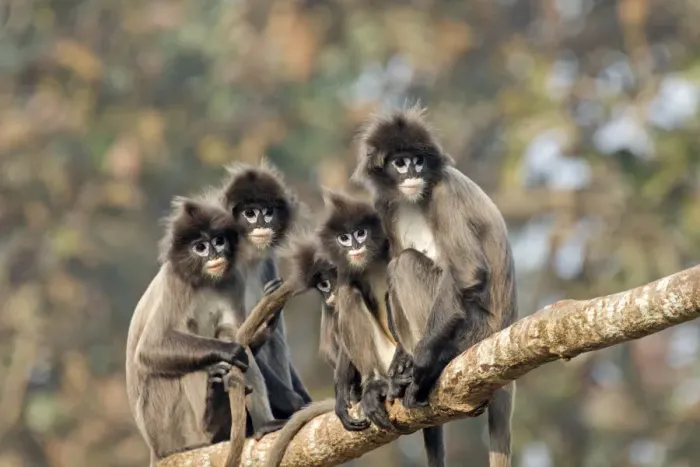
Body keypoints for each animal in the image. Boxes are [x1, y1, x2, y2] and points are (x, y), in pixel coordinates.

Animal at [125, 195, 254, 466]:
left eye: (219, 241)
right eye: (200, 247)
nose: (214, 254)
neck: (205, 281)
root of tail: (155, 450)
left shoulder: (232, 280)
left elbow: (230, 328)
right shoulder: (176, 284)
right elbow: (150, 347)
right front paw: (230, 351)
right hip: (163, 425)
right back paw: (210, 423)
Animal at [316, 189, 445, 467]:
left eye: (360, 233)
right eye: (344, 238)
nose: (355, 246)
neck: (371, 260)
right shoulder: (345, 271)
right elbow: (347, 291)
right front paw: (341, 397)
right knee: (348, 295)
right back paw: (373, 386)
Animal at [352, 106, 518, 467]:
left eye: (418, 159)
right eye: (400, 163)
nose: (413, 170)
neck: (415, 197)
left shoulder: (444, 192)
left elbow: (467, 271)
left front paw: (423, 364)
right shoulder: (386, 205)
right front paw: (400, 366)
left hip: (476, 331)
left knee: (405, 266)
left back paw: (435, 361)